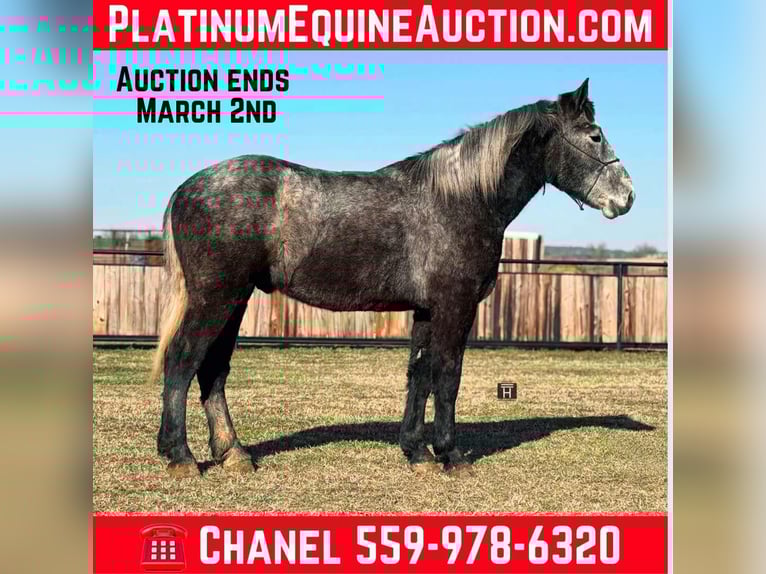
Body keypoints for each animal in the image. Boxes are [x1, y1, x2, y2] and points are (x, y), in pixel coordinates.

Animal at [150, 78, 635, 477]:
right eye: (595, 135)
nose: (627, 196)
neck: (461, 198)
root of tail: (188, 187)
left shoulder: (427, 309)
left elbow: (418, 374)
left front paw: (417, 452)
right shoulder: (455, 305)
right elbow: (447, 374)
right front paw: (451, 455)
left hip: (235, 299)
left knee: (213, 369)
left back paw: (233, 454)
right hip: (217, 297)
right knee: (183, 359)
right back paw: (181, 457)